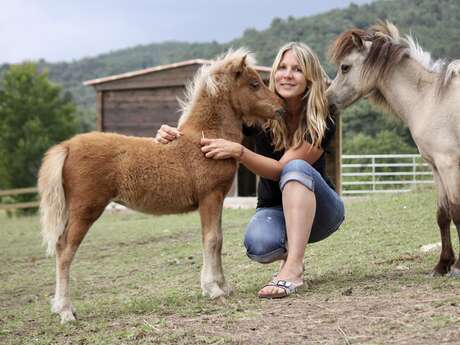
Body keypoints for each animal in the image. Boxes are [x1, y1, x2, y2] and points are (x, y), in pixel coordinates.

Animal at [39, 48, 284, 322]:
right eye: (254, 84)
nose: (281, 108)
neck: (204, 138)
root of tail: (67, 146)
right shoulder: (209, 197)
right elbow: (211, 240)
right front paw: (213, 289)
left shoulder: (219, 198)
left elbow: (218, 239)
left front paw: (224, 286)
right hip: (85, 209)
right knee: (65, 250)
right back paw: (65, 310)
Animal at [328, 22, 460, 276]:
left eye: (345, 67)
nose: (327, 100)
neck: (429, 99)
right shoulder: (435, 167)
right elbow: (443, 214)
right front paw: (442, 265)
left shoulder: (448, 164)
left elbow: (457, 210)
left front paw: (457, 266)